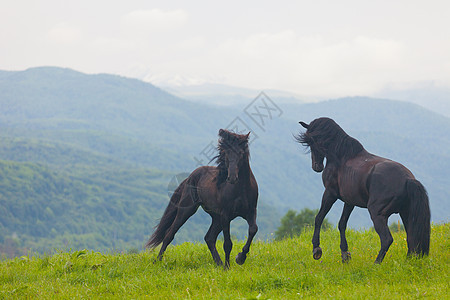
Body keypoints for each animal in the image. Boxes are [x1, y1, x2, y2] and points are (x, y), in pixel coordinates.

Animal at [147, 129, 258, 270]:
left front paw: (240, 258)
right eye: (226, 153)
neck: (241, 190)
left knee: (209, 238)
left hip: (216, 217)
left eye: (241, 153)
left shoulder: (251, 212)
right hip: (187, 211)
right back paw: (157, 261)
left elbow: (253, 230)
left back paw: (218, 263)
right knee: (169, 235)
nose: (232, 178)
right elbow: (227, 243)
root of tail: (189, 177)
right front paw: (227, 267)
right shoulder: (226, 215)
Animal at [298, 117, 430, 262]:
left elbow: (319, 218)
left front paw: (316, 250)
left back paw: (376, 263)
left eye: (312, 141)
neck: (342, 158)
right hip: (406, 213)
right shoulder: (349, 201)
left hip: (377, 213)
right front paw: (345, 254)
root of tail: (407, 179)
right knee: (411, 237)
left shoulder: (330, 194)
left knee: (387, 239)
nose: (317, 166)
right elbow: (342, 223)